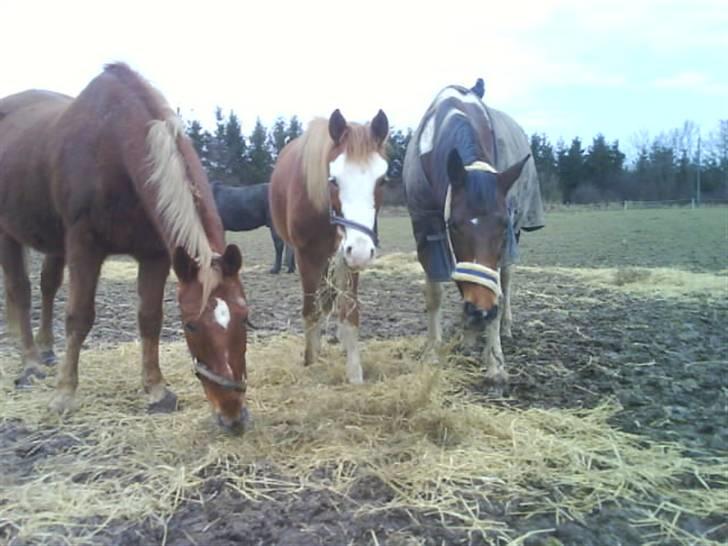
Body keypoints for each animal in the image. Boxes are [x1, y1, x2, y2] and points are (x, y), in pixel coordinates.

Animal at [0, 63, 250, 430]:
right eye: (191, 324)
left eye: (245, 318)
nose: (233, 416)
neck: (114, 146)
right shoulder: (84, 247)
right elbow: (79, 316)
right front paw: (64, 395)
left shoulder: (156, 256)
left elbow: (150, 318)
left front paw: (157, 389)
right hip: (8, 233)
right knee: (21, 290)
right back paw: (31, 363)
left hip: (54, 243)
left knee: (47, 287)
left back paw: (45, 352)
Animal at [404, 79, 544, 386]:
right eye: (455, 225)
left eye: (502, 225)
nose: (482, 311)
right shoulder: (426, 229)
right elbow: (436, 293)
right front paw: (435, 352)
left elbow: (495, 287)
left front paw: (494, 362)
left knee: (505, 281)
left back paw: (502, 326)